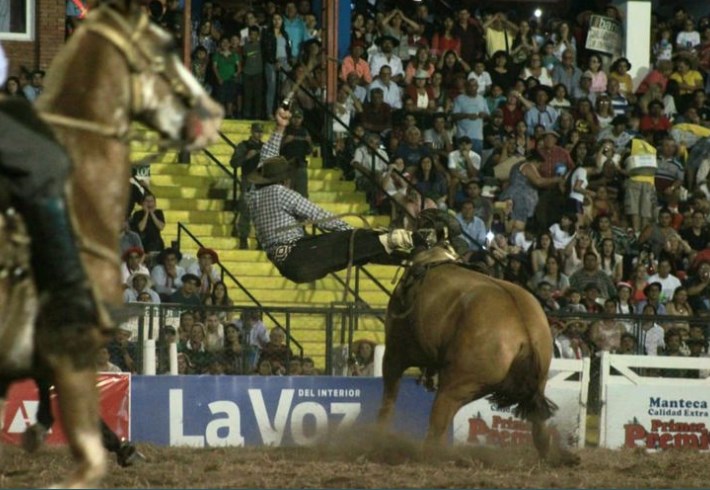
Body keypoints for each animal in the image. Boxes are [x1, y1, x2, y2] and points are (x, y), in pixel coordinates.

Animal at [382, 241, 580, 468]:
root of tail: (524, 332)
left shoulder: (396, 353)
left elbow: (389, 396)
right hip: (529, 381)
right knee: (538, 424)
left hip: (457, 384)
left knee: (438, 423)